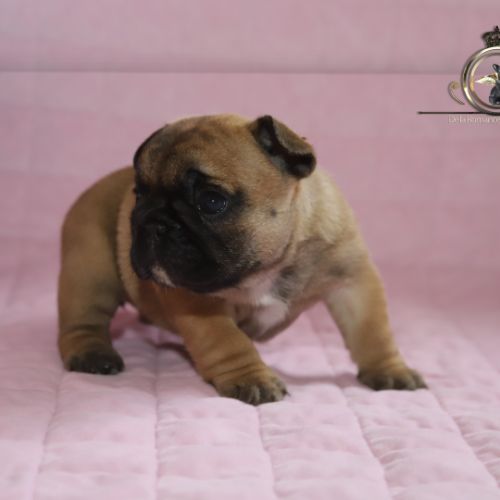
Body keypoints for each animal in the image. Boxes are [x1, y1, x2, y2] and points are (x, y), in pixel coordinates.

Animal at [58, 114, 426, 405]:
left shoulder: (353, 281)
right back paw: (93, 355)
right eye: (139, 195)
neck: (267, 265)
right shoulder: (197, 301)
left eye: (211, 200)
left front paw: (390, 370)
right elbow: (227, 340)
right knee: (81, 322)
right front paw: (252, 378)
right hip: (90, 271)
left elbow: (372, 331)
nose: (153, 222)